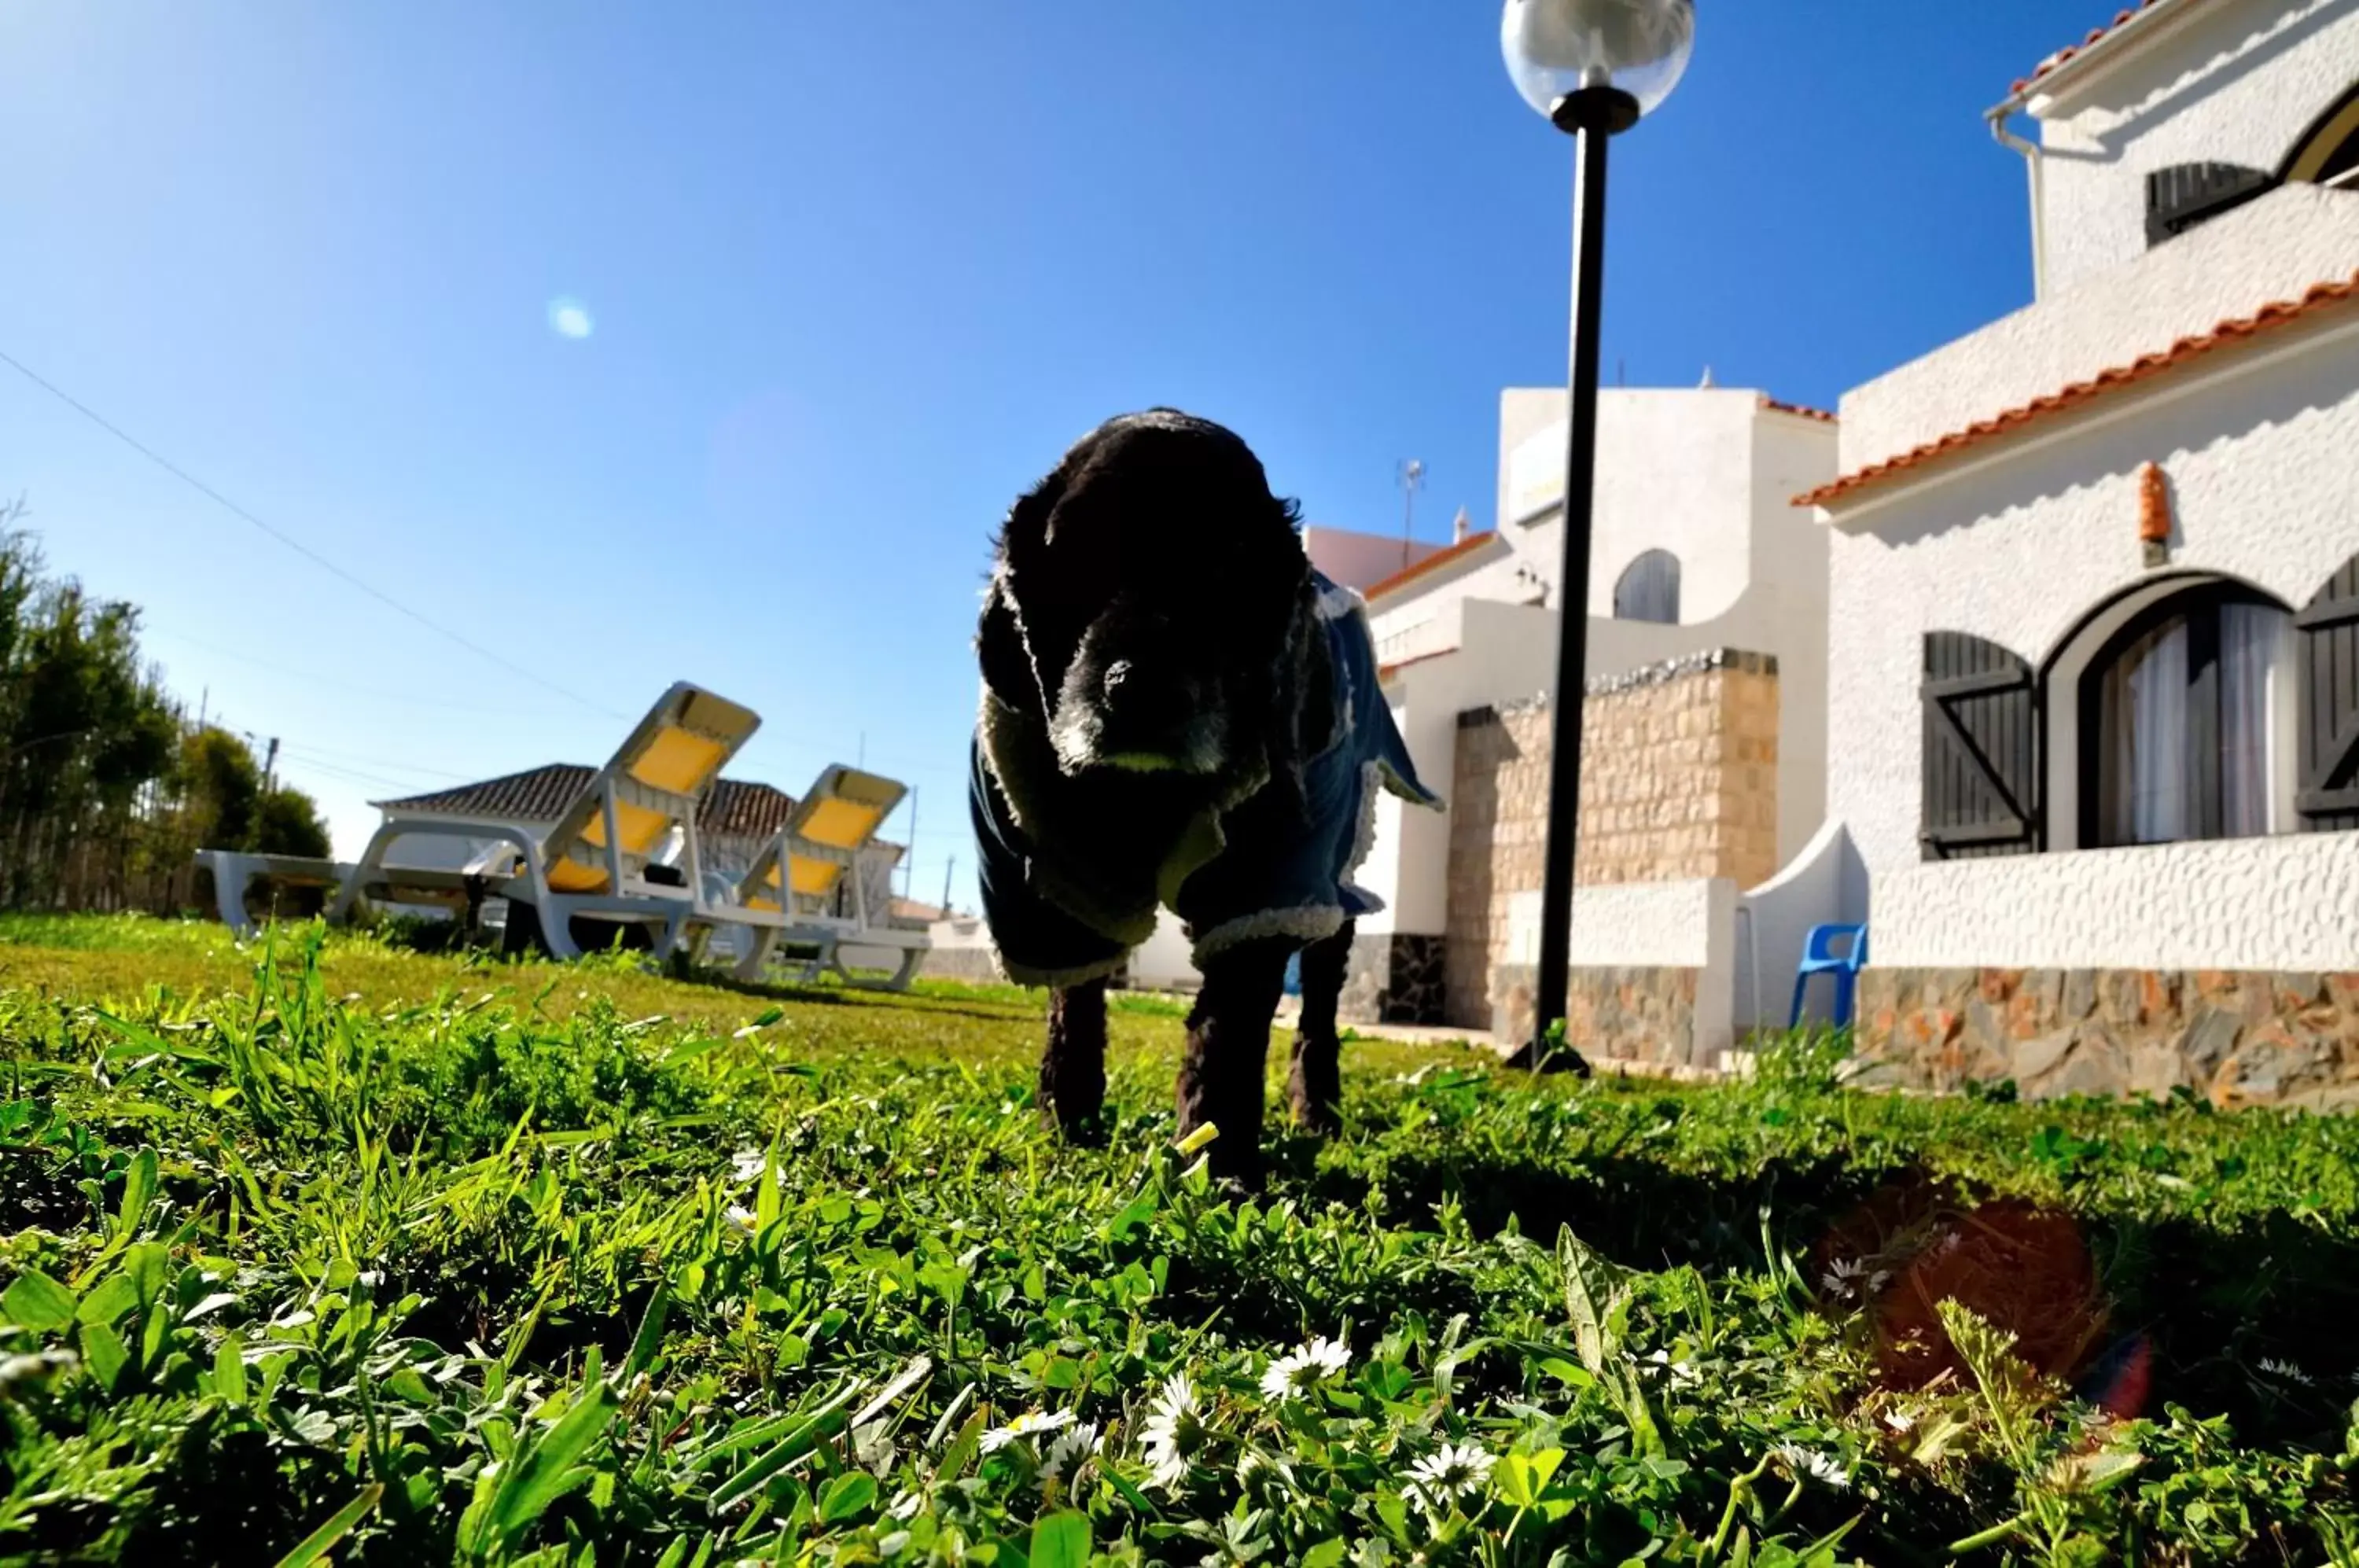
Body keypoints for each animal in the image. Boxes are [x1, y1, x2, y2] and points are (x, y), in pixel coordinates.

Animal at [967, 410, 1444, 1179]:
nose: (1147, 689)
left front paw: (1216, 1156)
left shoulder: (1270, 880)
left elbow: (1231, 1018)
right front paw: (1067, 1119)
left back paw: (1317, 1110)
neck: (1149, 795)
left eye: (1230, 570)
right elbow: (1076, 995)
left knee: (1320, 998)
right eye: (1081, 554)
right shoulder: (1035, 874)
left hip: (1337, 862)